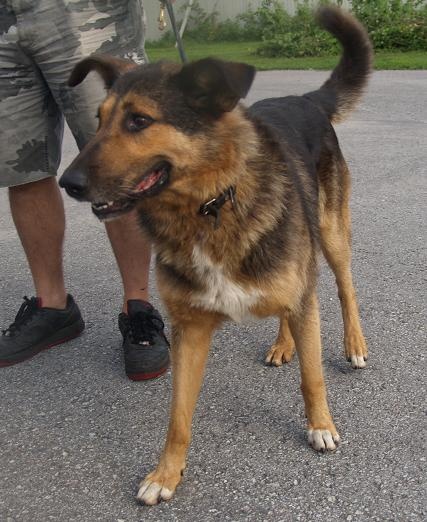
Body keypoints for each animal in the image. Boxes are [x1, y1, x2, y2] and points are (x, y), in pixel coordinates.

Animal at [60, 6, 372, 505]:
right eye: (99, 118)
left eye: (139, 121)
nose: (67, 183)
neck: (208, 206)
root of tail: (305, 99)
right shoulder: (190, 329)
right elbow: (178, 416)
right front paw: (166, 473)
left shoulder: (302, 294)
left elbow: (313, 377)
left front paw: (320, 426)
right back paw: (283, 343)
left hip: (330, 235)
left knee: (345, 289)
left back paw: (353, 345)